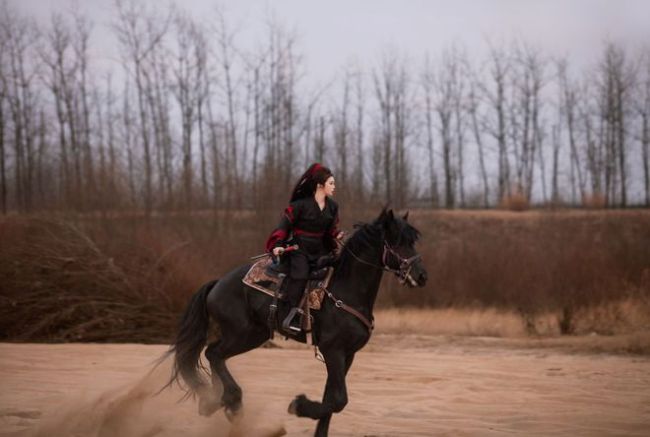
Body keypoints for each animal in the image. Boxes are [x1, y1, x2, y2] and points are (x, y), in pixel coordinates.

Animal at [167, 209, 428, 436]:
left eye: (412, 241)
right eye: (397, 242)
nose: (421, 275)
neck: (346, 289)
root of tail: (218, 282)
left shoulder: (348, 354)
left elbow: (331, 400)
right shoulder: (333, 350)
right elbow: (338, 399)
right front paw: (298, 405)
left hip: (254, 335)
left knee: (216, 357)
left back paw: (218, 402)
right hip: (241, 334)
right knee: (213, 353)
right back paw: (228, 399)